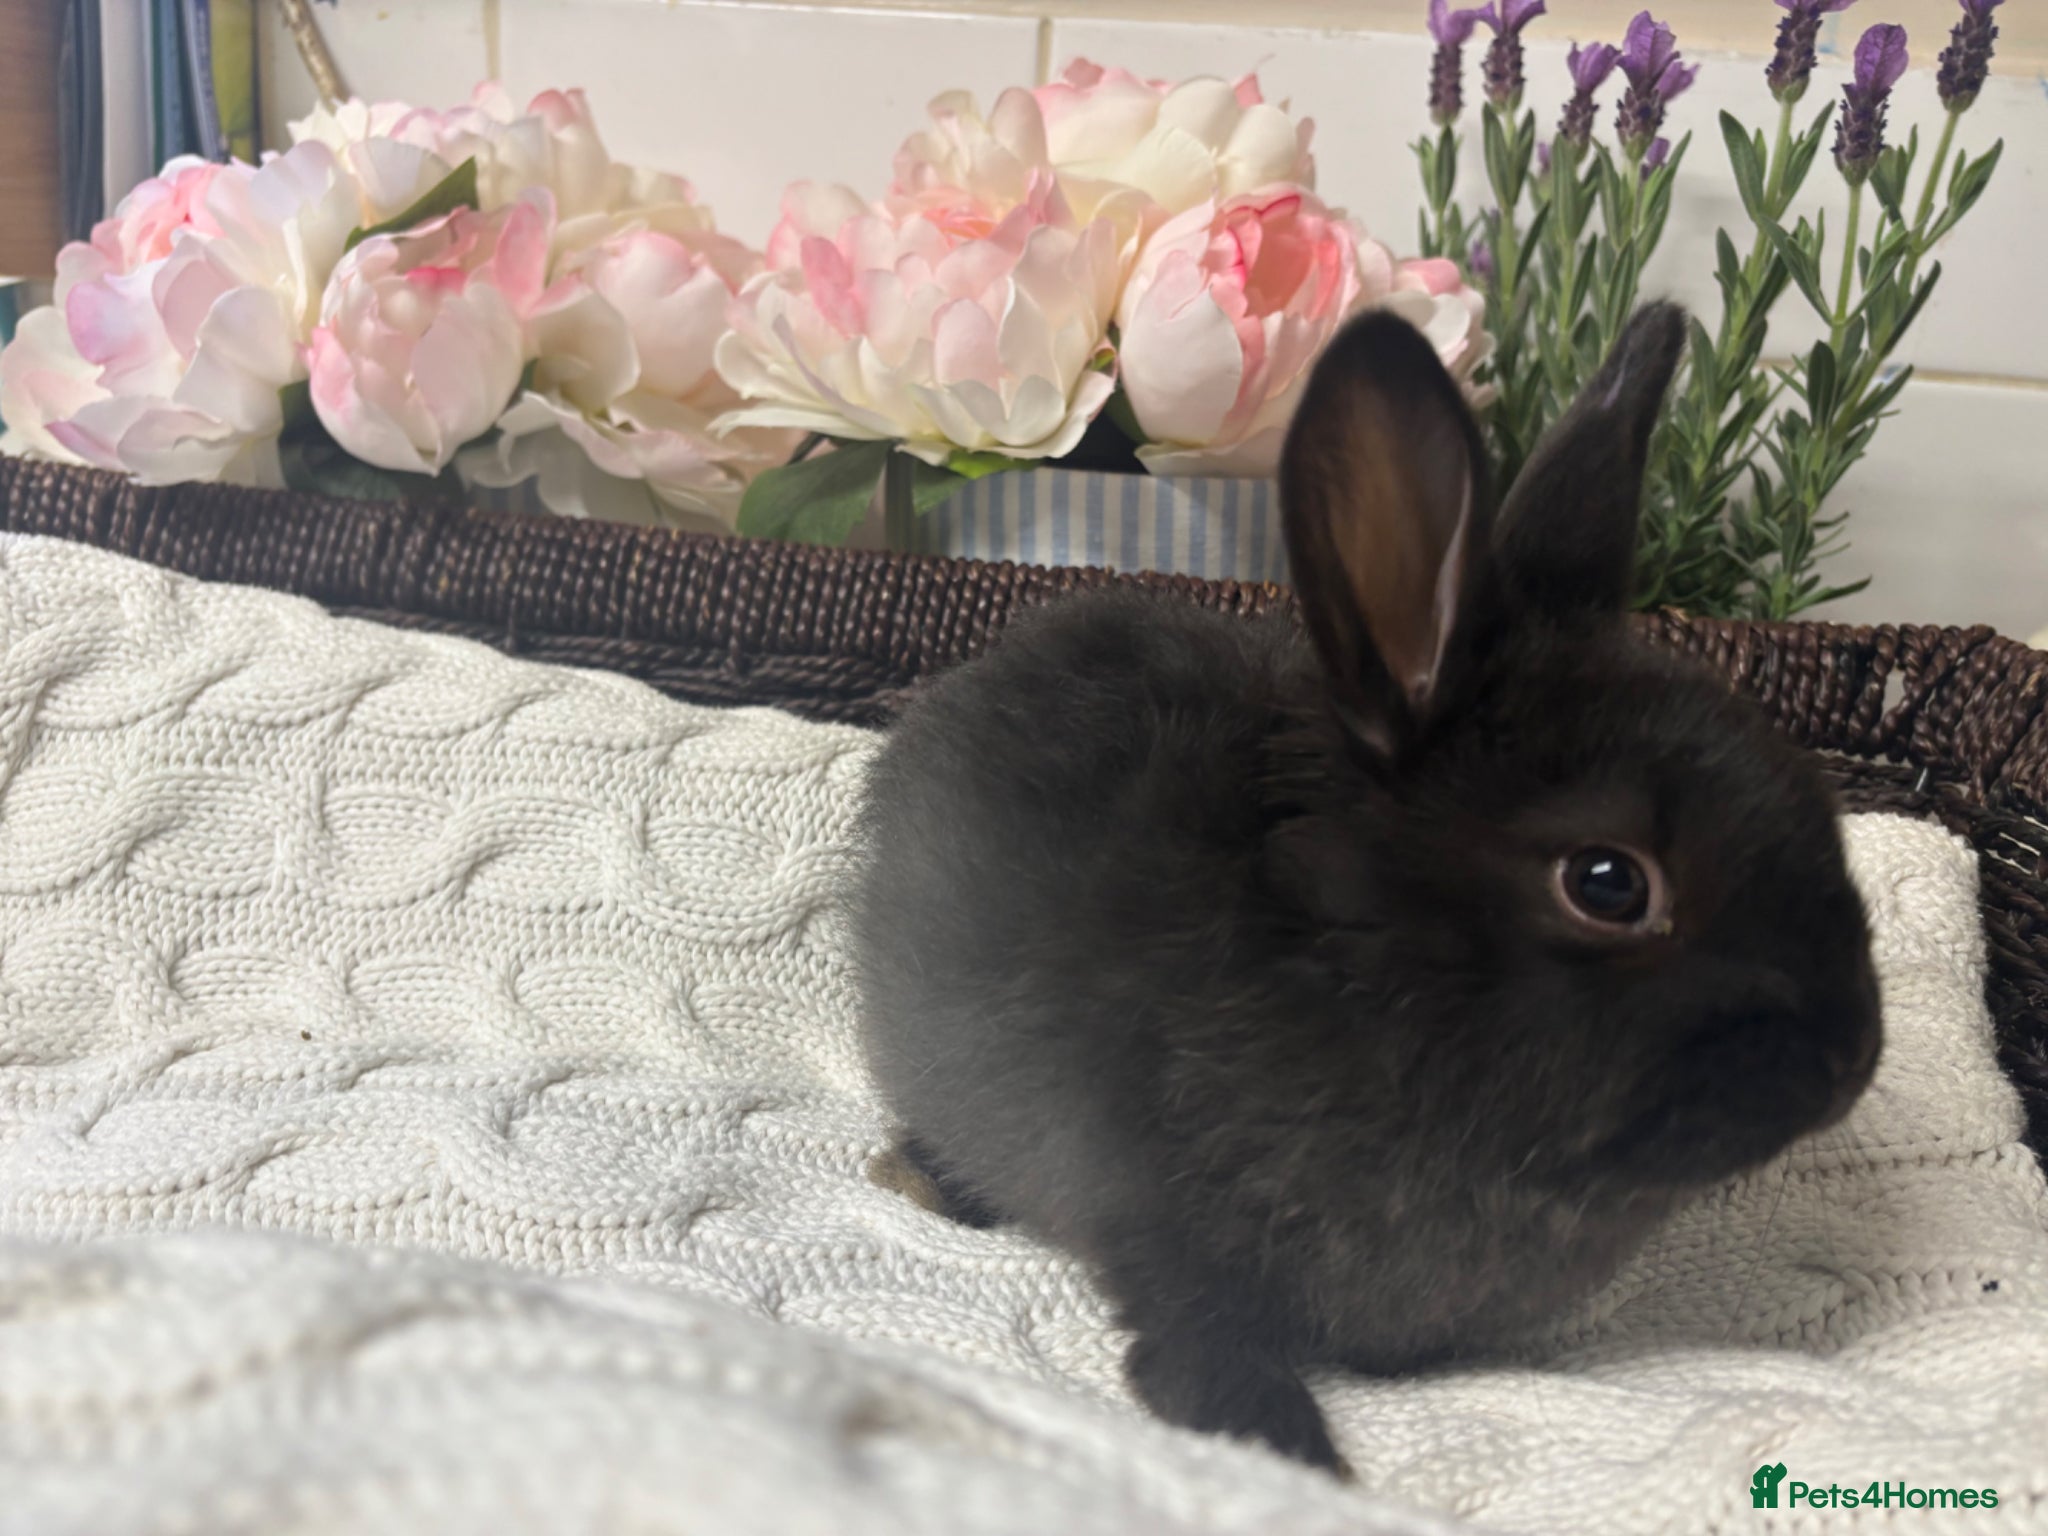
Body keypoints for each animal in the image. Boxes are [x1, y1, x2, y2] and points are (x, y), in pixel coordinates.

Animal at [847, 302, 1882, 1475]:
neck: (1347, 966)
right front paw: (1287, 1448)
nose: (1851, 1062)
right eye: (1608, 884)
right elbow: (1194, 1330)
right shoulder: (1151, 1210)